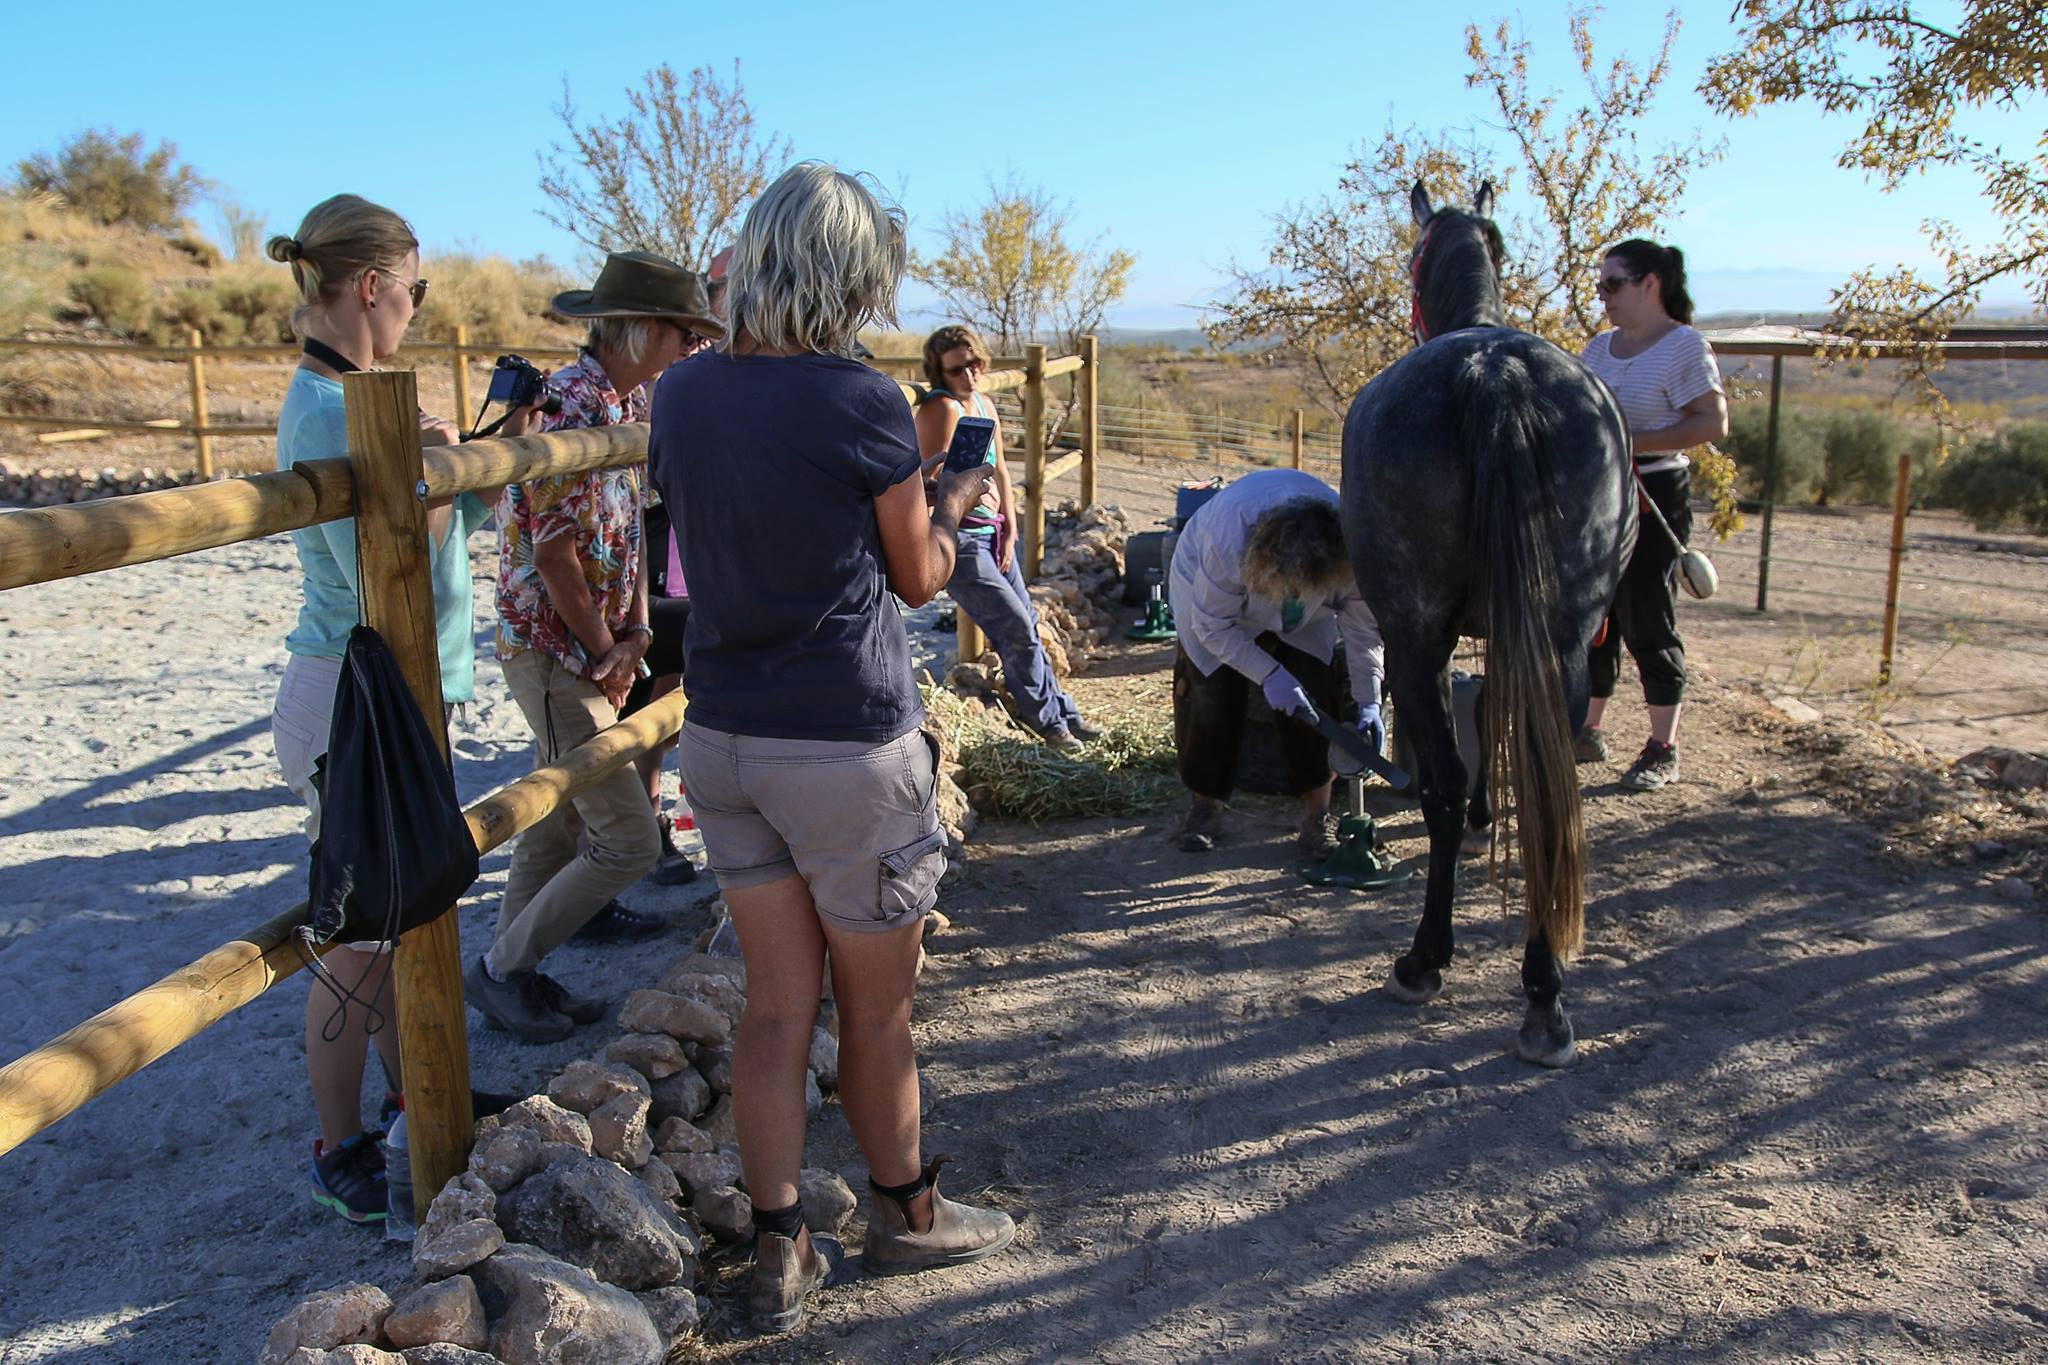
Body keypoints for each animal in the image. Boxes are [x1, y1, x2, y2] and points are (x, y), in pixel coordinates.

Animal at [1339, 182, 1634, 1067]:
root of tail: (1491, 371)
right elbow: (1499, 720)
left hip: (1416, 638)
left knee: (1441, 781)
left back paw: (1425, 958)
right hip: (1564, 640)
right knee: (1547, 794)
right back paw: (1544, 993)